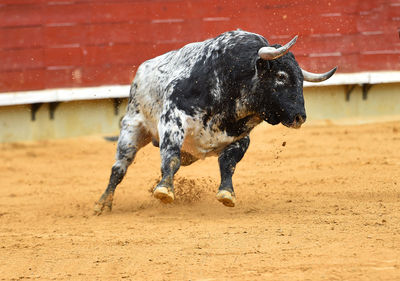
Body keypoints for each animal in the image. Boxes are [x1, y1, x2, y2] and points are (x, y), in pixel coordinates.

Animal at [94, 30, 338, 214]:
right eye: (281, 76)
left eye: (301, 79)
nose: (300, 117)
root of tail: (142, 69)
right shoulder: (173, 120)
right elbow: (171, 157)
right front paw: (164, 190)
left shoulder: (241, 138)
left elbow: (228, 164)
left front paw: (227, 194)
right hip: (132, 128)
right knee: (119, 168)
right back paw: (103, 204)